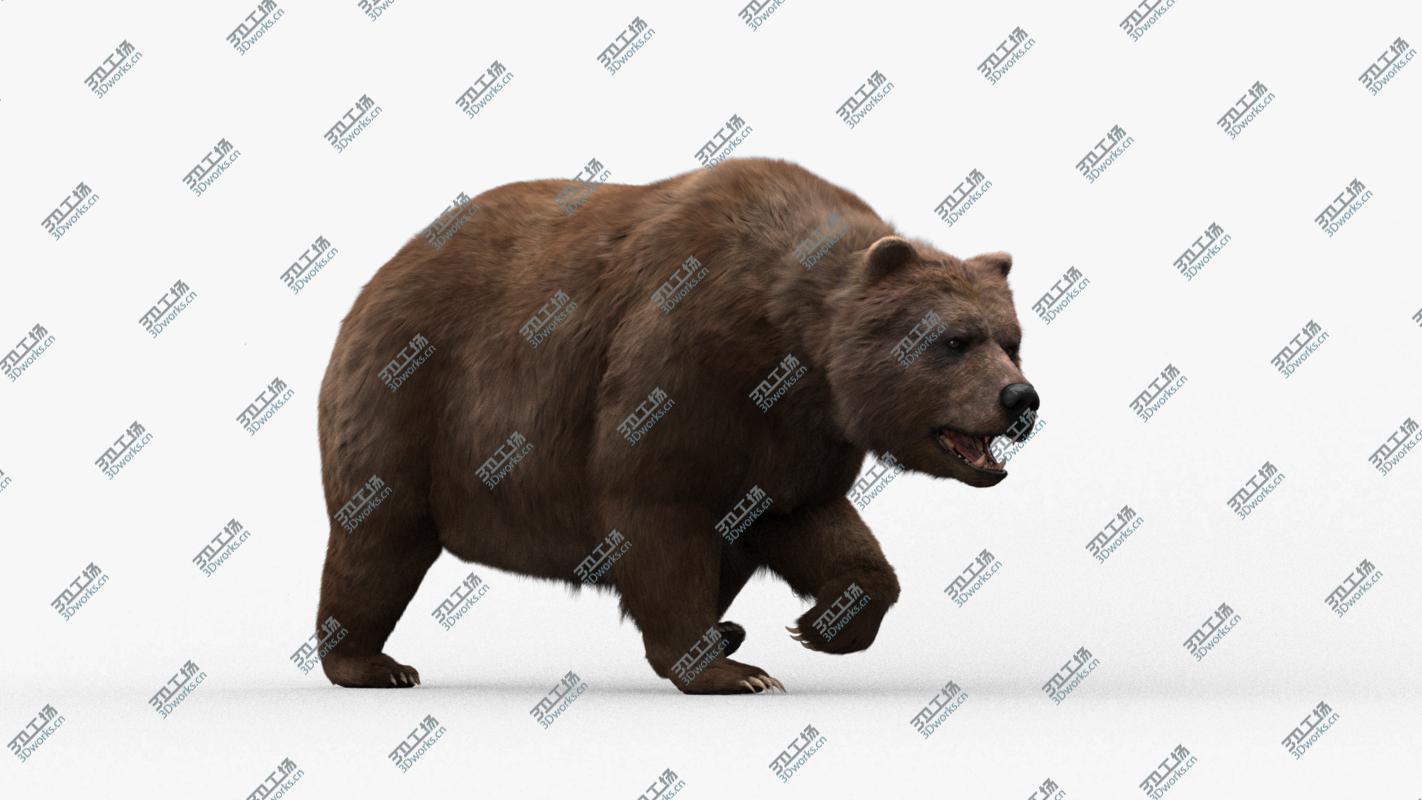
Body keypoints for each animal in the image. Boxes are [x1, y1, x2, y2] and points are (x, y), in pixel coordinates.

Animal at [314, 157, 1039, 694]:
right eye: (955, 341)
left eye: (1013, 340)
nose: (1021, 400)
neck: (788, 341)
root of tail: (383, 271)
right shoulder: (680, 362)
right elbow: (656, 511)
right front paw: (730, 672)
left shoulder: (792, 435)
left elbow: (809, 519)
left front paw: (822, 624)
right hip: (412, 400)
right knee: (379, 535)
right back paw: (372, 664)